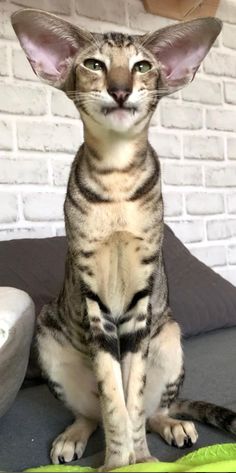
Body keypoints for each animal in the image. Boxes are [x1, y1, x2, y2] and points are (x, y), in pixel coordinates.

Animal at [10, 9, 234, 470]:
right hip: (48, 334)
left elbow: (132, 399)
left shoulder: (138, 305)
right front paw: (116, 463)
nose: (119, 89)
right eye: (94, 64)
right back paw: (73, 436)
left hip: (169, 336)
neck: (116, 178)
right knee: (91, 412)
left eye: (142, 66)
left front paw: (141, 460)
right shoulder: (97, 304)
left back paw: (172, 425)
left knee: (154, 409)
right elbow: (113, 398)